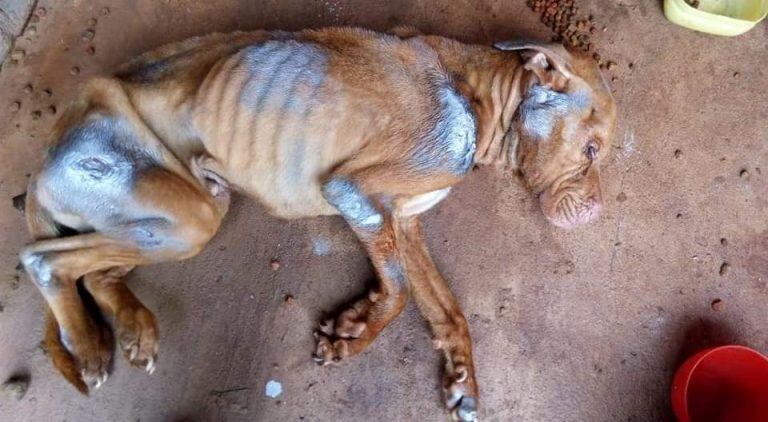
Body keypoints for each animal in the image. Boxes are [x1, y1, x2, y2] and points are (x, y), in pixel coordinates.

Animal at [19, 28, 616, 420]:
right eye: (590, 151)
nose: (597, 213)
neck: (479, 99)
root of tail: (46, 157)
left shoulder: (402, 223)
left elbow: (446, 307)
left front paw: (462, 375)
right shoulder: (353, 192)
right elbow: (398, 291)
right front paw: (356, 331)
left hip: (184, 210)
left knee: (97, 271)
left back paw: (132, 328)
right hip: (186, 216)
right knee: (44, 260)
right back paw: (87, 344)